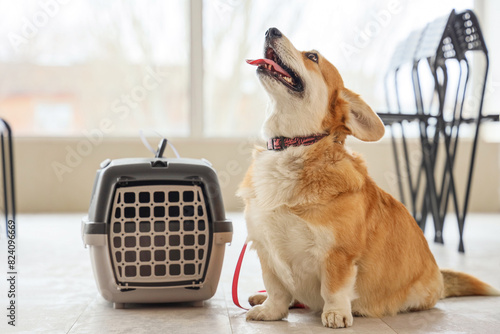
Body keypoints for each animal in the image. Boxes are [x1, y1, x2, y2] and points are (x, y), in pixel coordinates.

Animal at [239, 26, 500, 328]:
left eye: (312, 57)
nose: (271, 30)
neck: (295, 146)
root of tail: (440, 279)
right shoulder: (266, 250)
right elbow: (277, 289)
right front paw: (270, 310)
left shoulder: (338, 254)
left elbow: (333, 288)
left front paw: (335, 314)